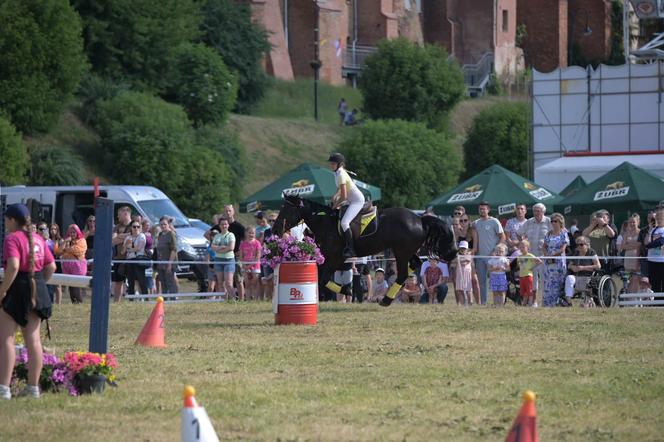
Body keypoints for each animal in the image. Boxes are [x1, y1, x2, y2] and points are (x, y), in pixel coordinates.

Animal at [274, 195, 456, 306]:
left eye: (286, 210)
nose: (275, 229)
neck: (326, 223)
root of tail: (420, 219)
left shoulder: (335, 259)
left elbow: (324, 279)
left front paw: (347, 290)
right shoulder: (329, 259)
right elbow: (321, 278)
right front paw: (345, 290)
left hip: (400, 252)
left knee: (403, 273)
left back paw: (386, 300)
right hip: (406, 251)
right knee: (415, 263)